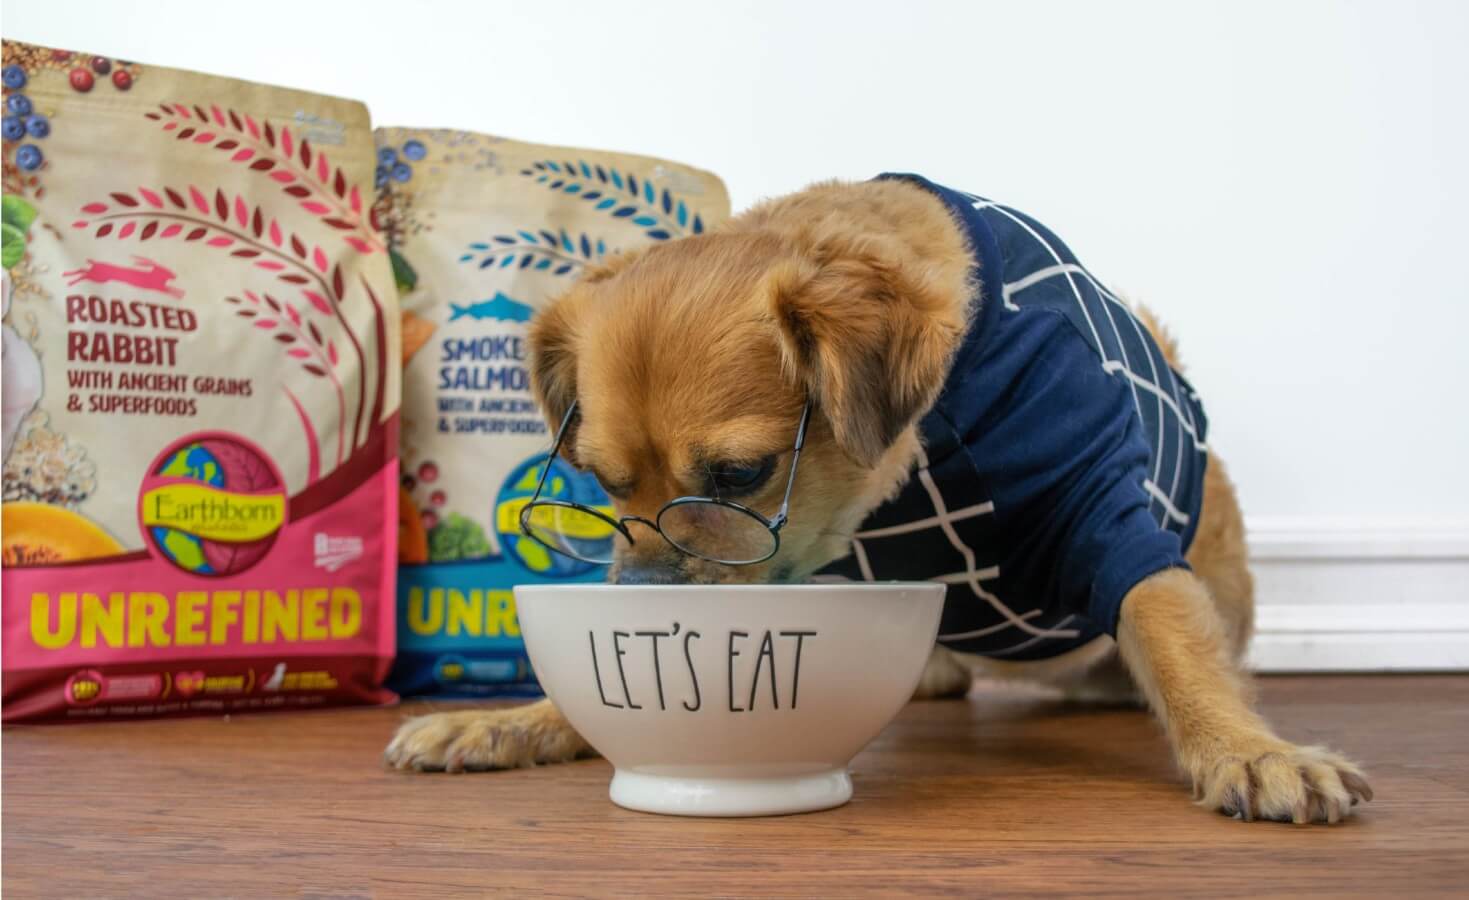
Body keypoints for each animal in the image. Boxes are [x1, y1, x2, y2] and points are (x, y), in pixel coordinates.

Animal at [384, 173, 1369, 822]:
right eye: (603, 485)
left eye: (739, 477)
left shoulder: (1097, 504)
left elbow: (1163, 624)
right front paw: (519, 722)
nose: (641, 601)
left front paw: (1244, 747)